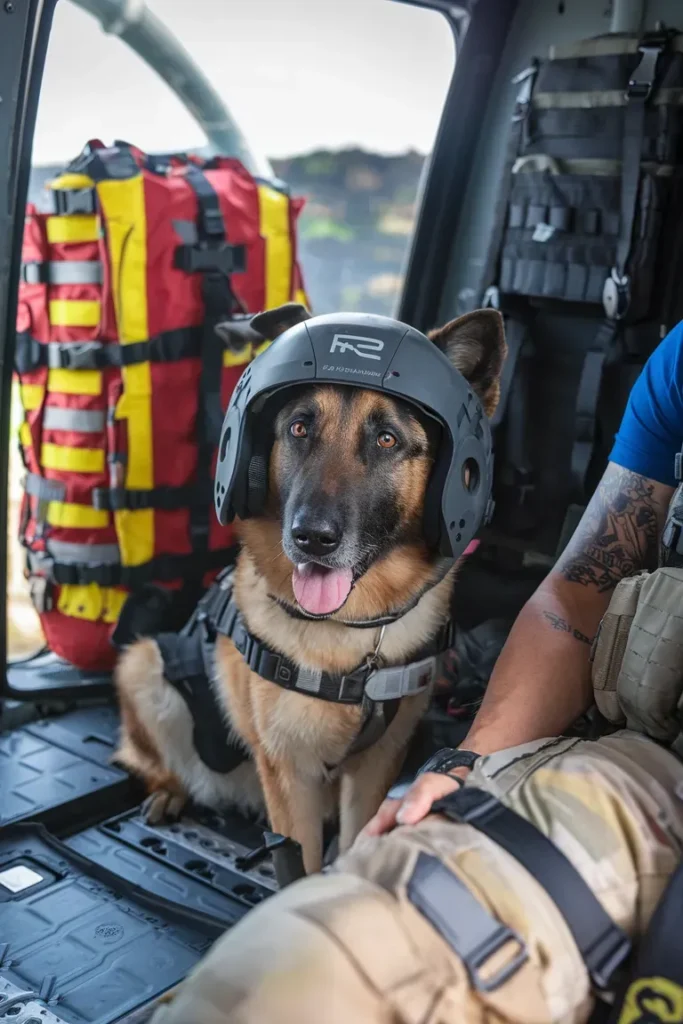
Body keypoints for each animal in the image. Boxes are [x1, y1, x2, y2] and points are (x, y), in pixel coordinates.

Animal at [113, 301, 507, 872]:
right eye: (300, 428)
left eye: (386, 439)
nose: (312, 539)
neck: (355, 641)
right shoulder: (291, 777)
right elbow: (299, 867)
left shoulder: (372, 772)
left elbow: (359, 834)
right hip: (143, 666)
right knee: (150, 758)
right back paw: (170, 791)